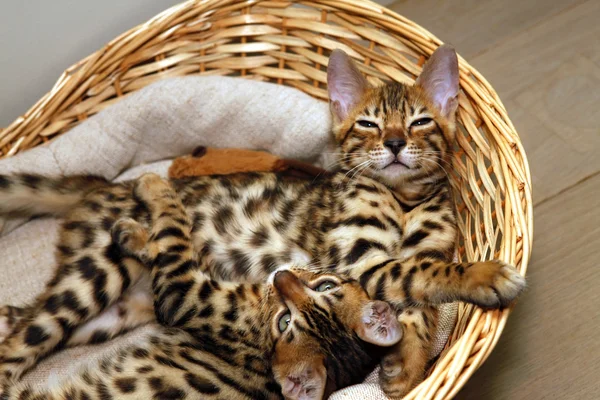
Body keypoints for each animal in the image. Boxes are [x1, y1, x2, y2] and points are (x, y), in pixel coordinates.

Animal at [1, 175, 404, 400]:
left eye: (285, 323)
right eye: (325, 284)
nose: (281, 278)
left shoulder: (184, 294)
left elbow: (174, 236)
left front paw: (154, 186)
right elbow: (179, 240)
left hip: (99, 288)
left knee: (18, 347)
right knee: (32, 319)